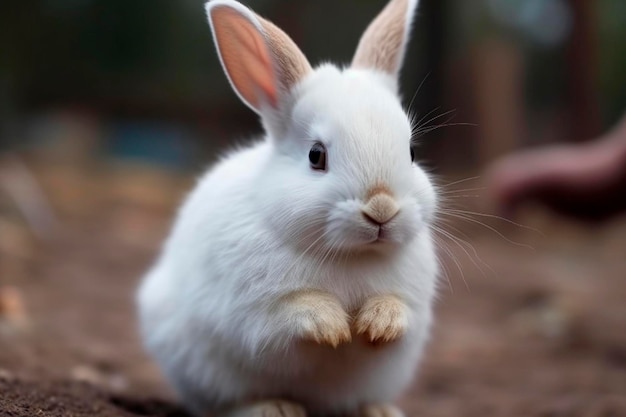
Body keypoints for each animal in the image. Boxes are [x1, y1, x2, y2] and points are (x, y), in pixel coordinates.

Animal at [136, 0, 438, 414]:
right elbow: (290, 315)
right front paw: (333, 327)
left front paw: (377, 322)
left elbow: (398, 311)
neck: (350, 256)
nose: (381, 208)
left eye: (411, 153)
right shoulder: (254, 312)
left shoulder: (412, 307)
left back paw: (377, 409)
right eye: (316, 155)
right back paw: (273, 407)